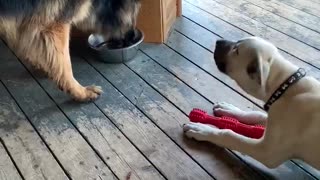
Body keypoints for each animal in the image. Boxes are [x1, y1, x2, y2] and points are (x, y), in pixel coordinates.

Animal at [0, 0, 140, 101]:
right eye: (134, 13)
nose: (133, 37)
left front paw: (44, 66)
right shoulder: (56, 25)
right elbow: (65, 65)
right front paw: (81, 93)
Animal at [184, 36, 320, 169]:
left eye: (236, 50)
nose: (218, 41)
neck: (285, 86)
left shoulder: (266, 151)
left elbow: (230, 136)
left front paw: (203, 130)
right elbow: (256, 114)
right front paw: (230, 109)